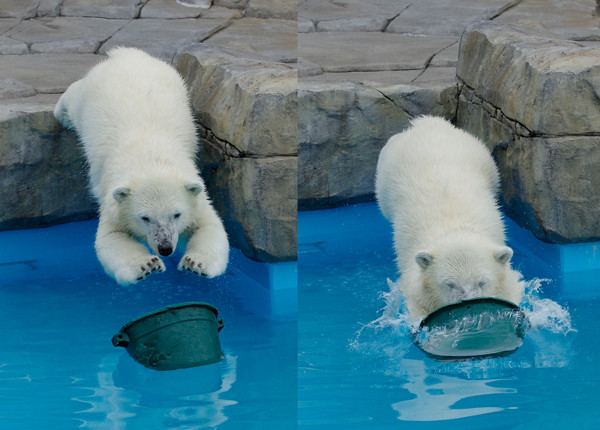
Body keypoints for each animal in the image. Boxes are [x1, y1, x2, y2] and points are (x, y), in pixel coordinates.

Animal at [54, 47, 229, 286]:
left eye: (177, 214)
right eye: (145, 218)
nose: (165, 248)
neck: (150, 159)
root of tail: (127, 54)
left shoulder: (194, 193)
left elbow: (208, 225)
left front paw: (195, 263)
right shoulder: (113, 199)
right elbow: (112, 236)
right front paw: (147, 265)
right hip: (89, 94)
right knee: (73, 99)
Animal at [378, 116, 524, 320]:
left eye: (482, 282)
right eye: (449, 283)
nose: (469, 302)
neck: (456, 228)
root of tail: (427, 122)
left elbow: (510, 289)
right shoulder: (413, 277)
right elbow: (416, 301)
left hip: (484, 159)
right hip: (385, 175)